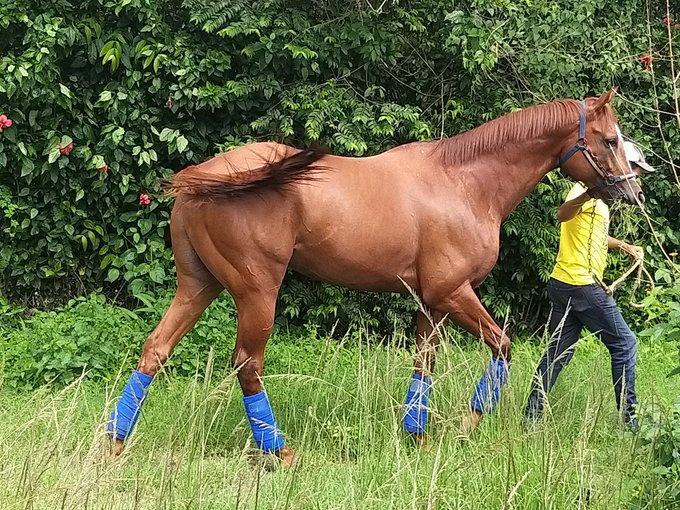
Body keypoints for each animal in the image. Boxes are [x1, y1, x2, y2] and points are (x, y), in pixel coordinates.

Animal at [106, 90, 645, 465]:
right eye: (610, 140)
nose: (633, 192)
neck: (463, 182)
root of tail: (202, 177)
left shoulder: (431, 302)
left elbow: (424, 366)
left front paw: (418, 436)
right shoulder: (454, 293)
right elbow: (503, 346)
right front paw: (467, 424)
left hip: (198, 287)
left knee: (155, 349)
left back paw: (114, 442)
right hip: (257, 292)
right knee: (247, 364)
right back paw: (279, 451)